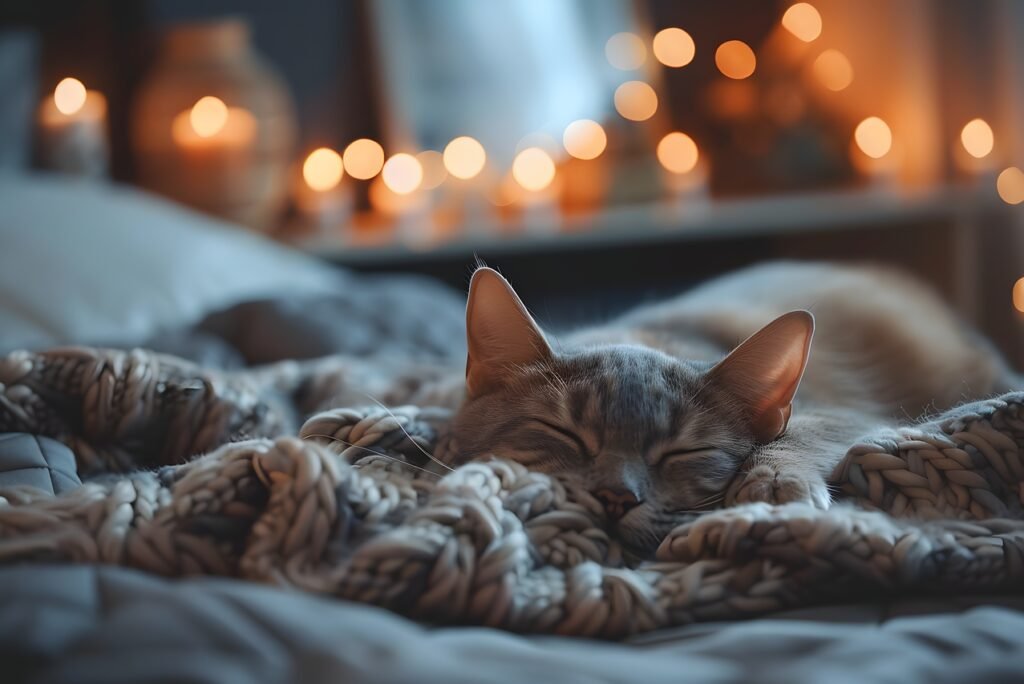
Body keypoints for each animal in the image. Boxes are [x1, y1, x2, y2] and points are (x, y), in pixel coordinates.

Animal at [442, 262, 1015, 557]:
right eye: (563, 432)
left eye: (682, 452)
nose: (615, 497)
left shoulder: (849, 414)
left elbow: (800, 433)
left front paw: (772, 483)